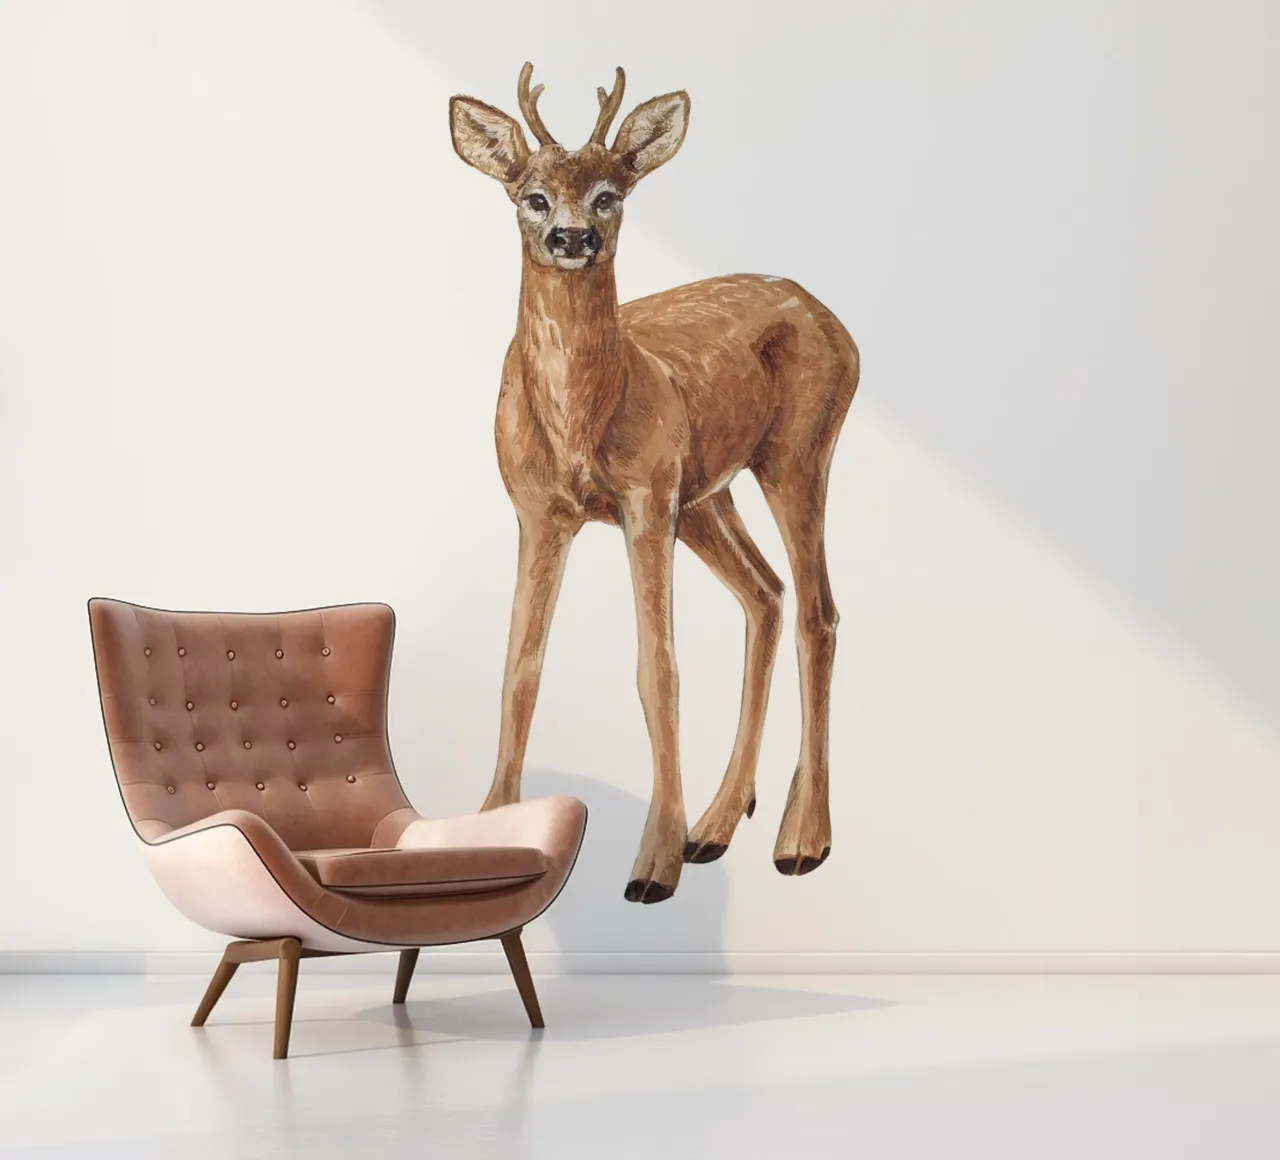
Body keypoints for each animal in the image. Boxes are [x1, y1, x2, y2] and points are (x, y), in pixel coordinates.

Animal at [449, 64, 859, 904]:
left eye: (611, 193)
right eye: (531, 196)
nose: (573, 237)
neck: (581, 422)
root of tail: (841, 326)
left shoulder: (643, 501)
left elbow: (657, 670)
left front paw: (652, 864)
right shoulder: (540, 512)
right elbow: (520, 669)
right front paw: (490, 827)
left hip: (797, 454)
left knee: (819, 612)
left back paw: (801, 839)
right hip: (706, 494)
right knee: (767, 595)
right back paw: (720, 822)